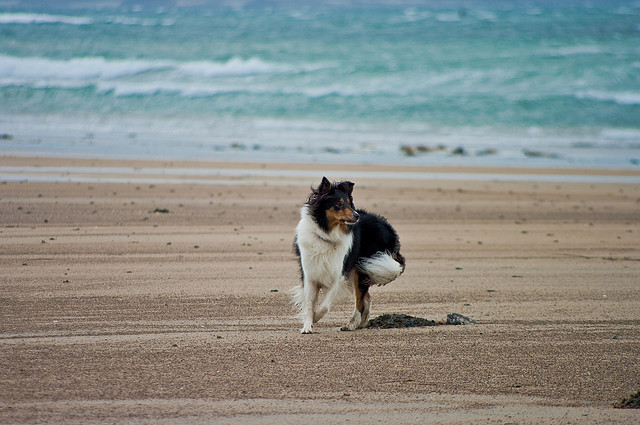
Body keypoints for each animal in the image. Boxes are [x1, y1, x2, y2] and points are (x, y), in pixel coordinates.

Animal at [292, 177, 404, 332]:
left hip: (362, 268)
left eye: (349, 204)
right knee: (366, 298)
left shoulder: (338, 275)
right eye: (338, 204)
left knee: (360, 301)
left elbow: (324, 306)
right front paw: (307, 326)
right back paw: (361, 323)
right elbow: (309, 304)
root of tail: (388, 227)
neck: (327, 235)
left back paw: (351, 324)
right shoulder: (310, 275)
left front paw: (315, 317)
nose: (357, 216)